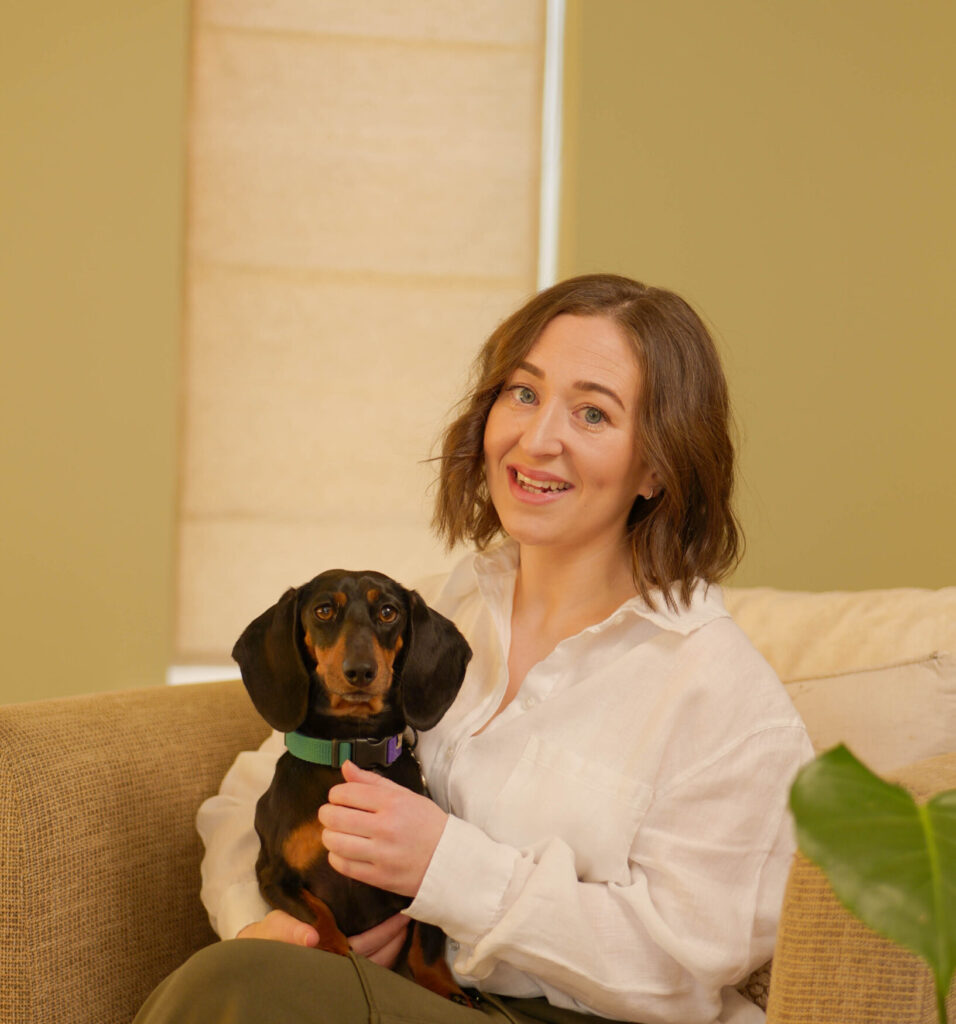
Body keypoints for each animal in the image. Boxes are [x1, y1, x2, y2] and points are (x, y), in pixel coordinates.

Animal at [232, 568, 473, 1003]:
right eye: (324, 610)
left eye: (389, 611)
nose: (360, 671)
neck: (350, 749)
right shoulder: (274, 876)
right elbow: (319, 916)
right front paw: (336, 950)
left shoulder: (420, 879)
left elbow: (427, 939)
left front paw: (443, 988)